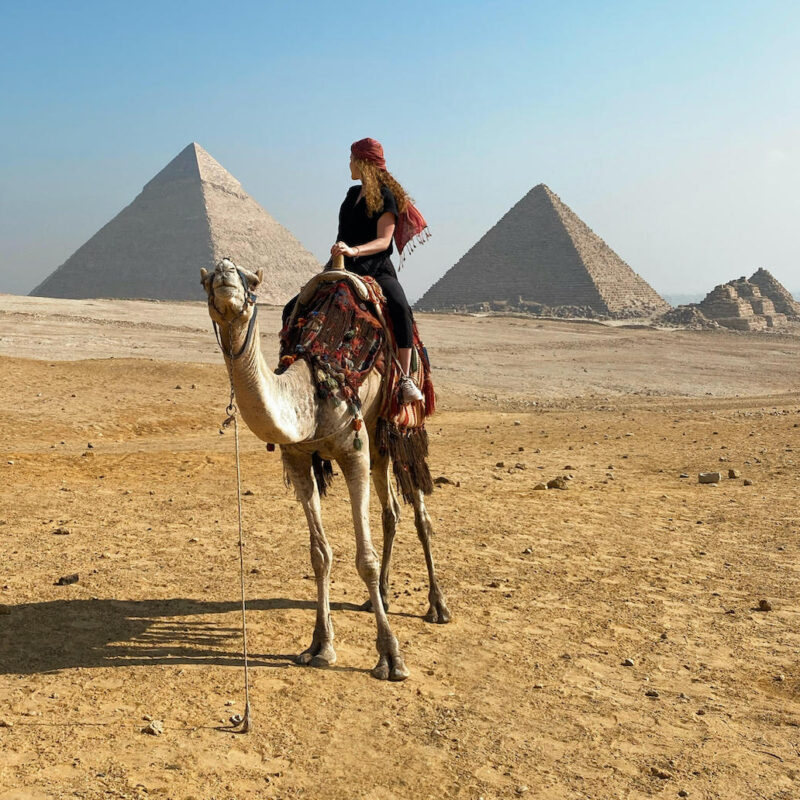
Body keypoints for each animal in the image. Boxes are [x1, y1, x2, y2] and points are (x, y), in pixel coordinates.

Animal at [202, 258, 450, 680]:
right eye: (205, 280)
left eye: (250, 280)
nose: (224, 272)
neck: (311, 390)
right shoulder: (298, 459)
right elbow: (320, 554)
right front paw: (319, 645)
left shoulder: (353, 452)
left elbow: (364, 559)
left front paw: (390, 657)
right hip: (377, 437)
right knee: (391, 512)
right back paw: (382, 596)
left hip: (401, 427)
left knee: (420, 516)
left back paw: (437, 605)